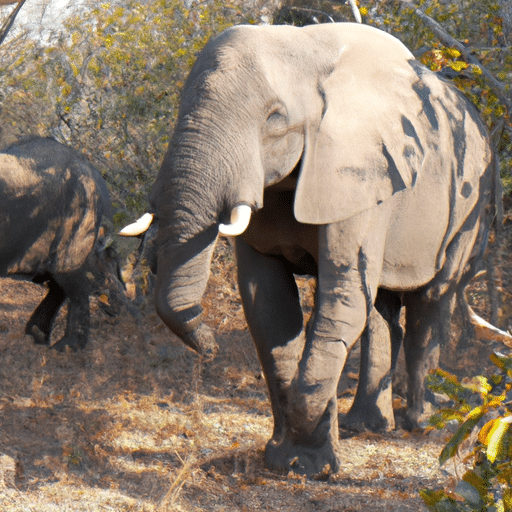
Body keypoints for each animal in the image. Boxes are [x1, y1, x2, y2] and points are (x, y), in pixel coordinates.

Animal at [123, 23, 496, 476]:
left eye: (274, 118)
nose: (209, 347)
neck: (300, 46)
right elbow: (267, 306)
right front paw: (286, 459)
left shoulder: (358, 173)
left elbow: (340, 299)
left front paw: (313, 465)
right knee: (381, 310)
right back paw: (366, 427)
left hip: (472, 203)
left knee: (431, 300)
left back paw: (417, 423)